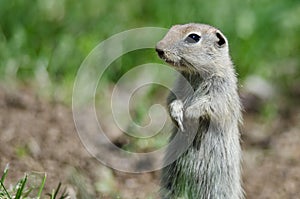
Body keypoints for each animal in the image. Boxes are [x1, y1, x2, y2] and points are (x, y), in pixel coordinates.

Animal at [156, 23, 243, 199]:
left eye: (193, 37)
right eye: (173, 27)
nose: (158, 48)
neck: (194, 73)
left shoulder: (220, 91)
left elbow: (208, 105)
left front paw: (189, 115)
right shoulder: (177, 88)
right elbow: (171, 101)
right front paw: (177, 115)